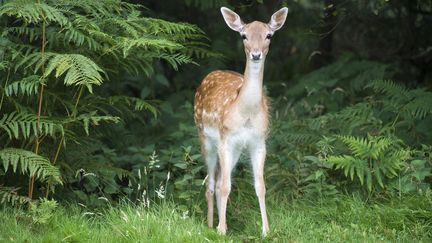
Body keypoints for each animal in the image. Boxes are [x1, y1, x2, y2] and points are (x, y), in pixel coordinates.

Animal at [194, 7, 288, 235]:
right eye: (244, 35)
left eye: (268, 35)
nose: (255, 54)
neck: (246, 114)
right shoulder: (225, 139)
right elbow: (226, 186)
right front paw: (220, 230)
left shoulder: (259, 141)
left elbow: (260, 186)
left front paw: (266, 230)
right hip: (205, 137)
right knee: (211, 182)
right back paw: (210, 225)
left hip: (235, 148)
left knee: (219, 180)